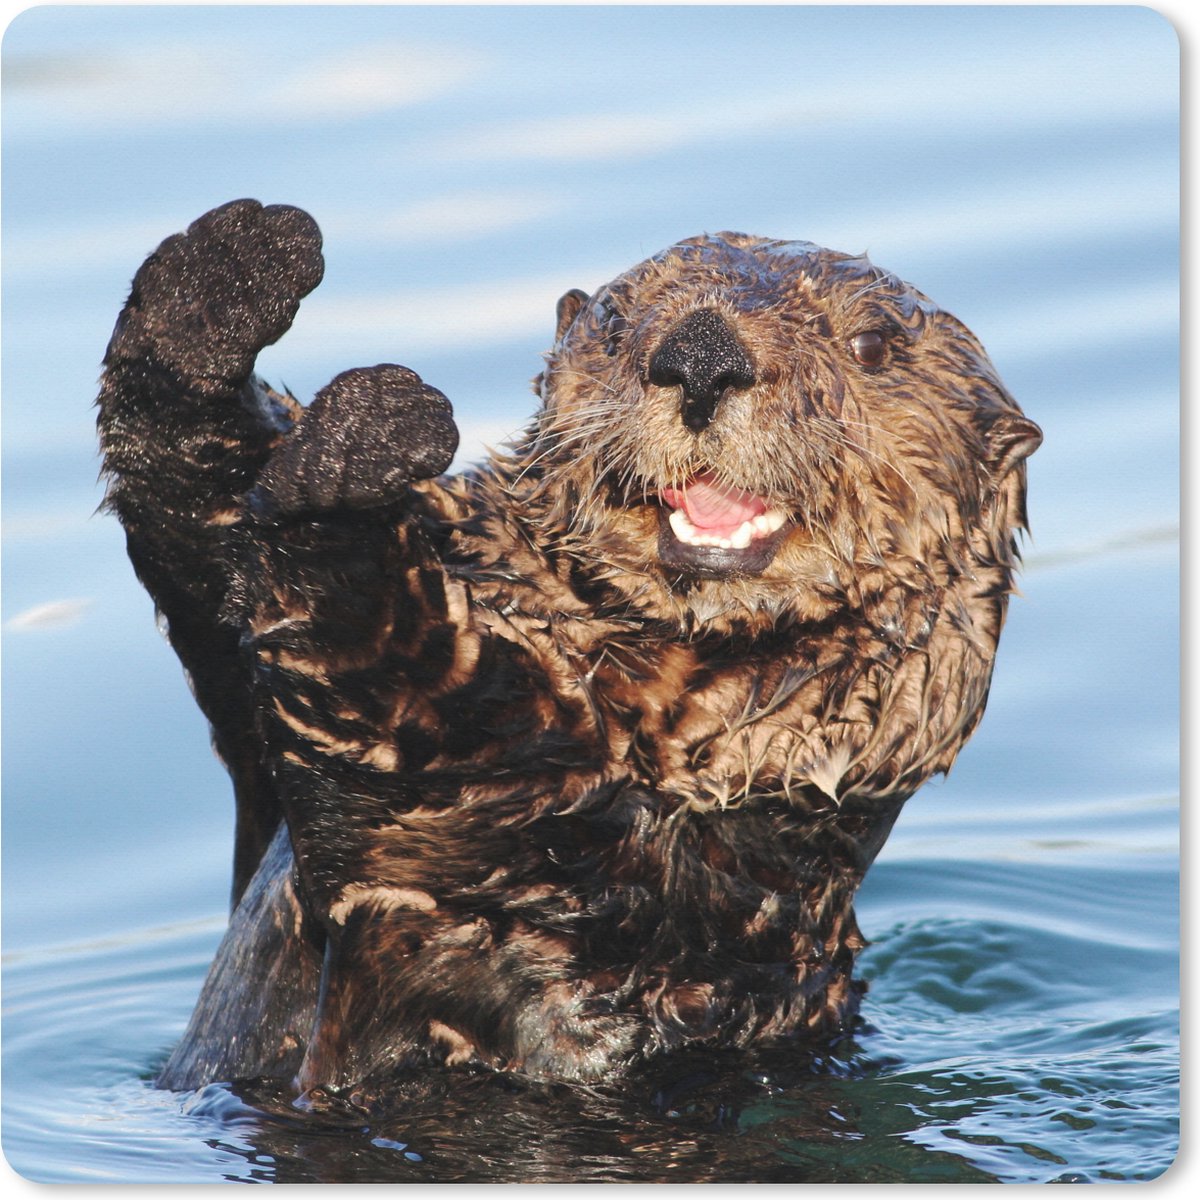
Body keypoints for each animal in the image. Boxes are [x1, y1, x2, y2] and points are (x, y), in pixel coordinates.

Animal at [96, 200, 1040, 1098]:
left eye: (871, 343)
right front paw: (224, 278)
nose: (701, 356)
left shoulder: (555, 856)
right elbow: (205, 540)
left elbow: (407, 695)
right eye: (618, 325)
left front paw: (352, 456)